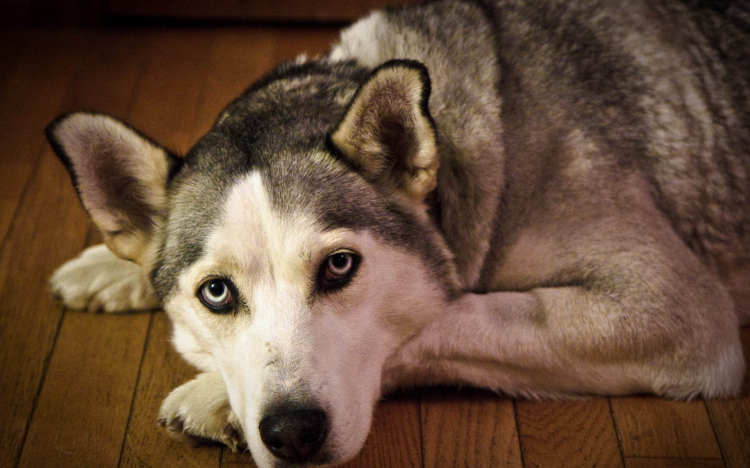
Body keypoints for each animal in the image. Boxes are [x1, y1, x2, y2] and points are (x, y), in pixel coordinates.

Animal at [48, 0, 750, 466]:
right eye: (216, 293)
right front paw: (107, 267)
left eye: (339, 266)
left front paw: (211, 395)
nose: (293, 434)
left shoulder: (669, 307)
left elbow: (444, 318)